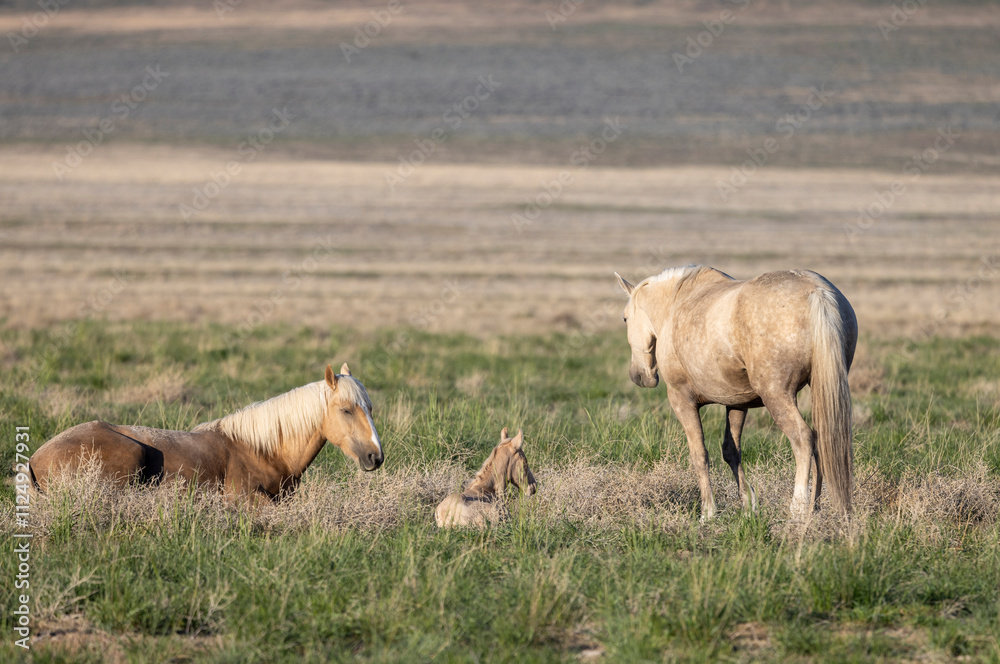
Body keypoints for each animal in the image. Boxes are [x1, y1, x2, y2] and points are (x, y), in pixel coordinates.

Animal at [615, 266, 857, 520]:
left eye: (625, 318)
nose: (639, 376)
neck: (675, 303)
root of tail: (817, 291)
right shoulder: (737, 403)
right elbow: (731, 451)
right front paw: (749, 506)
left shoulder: (682, 400)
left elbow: (699, 455)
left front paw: (708, 512)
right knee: (822, 441)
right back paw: (815, 507)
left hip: (777, 396)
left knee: (803, 439)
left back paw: (798, 508)